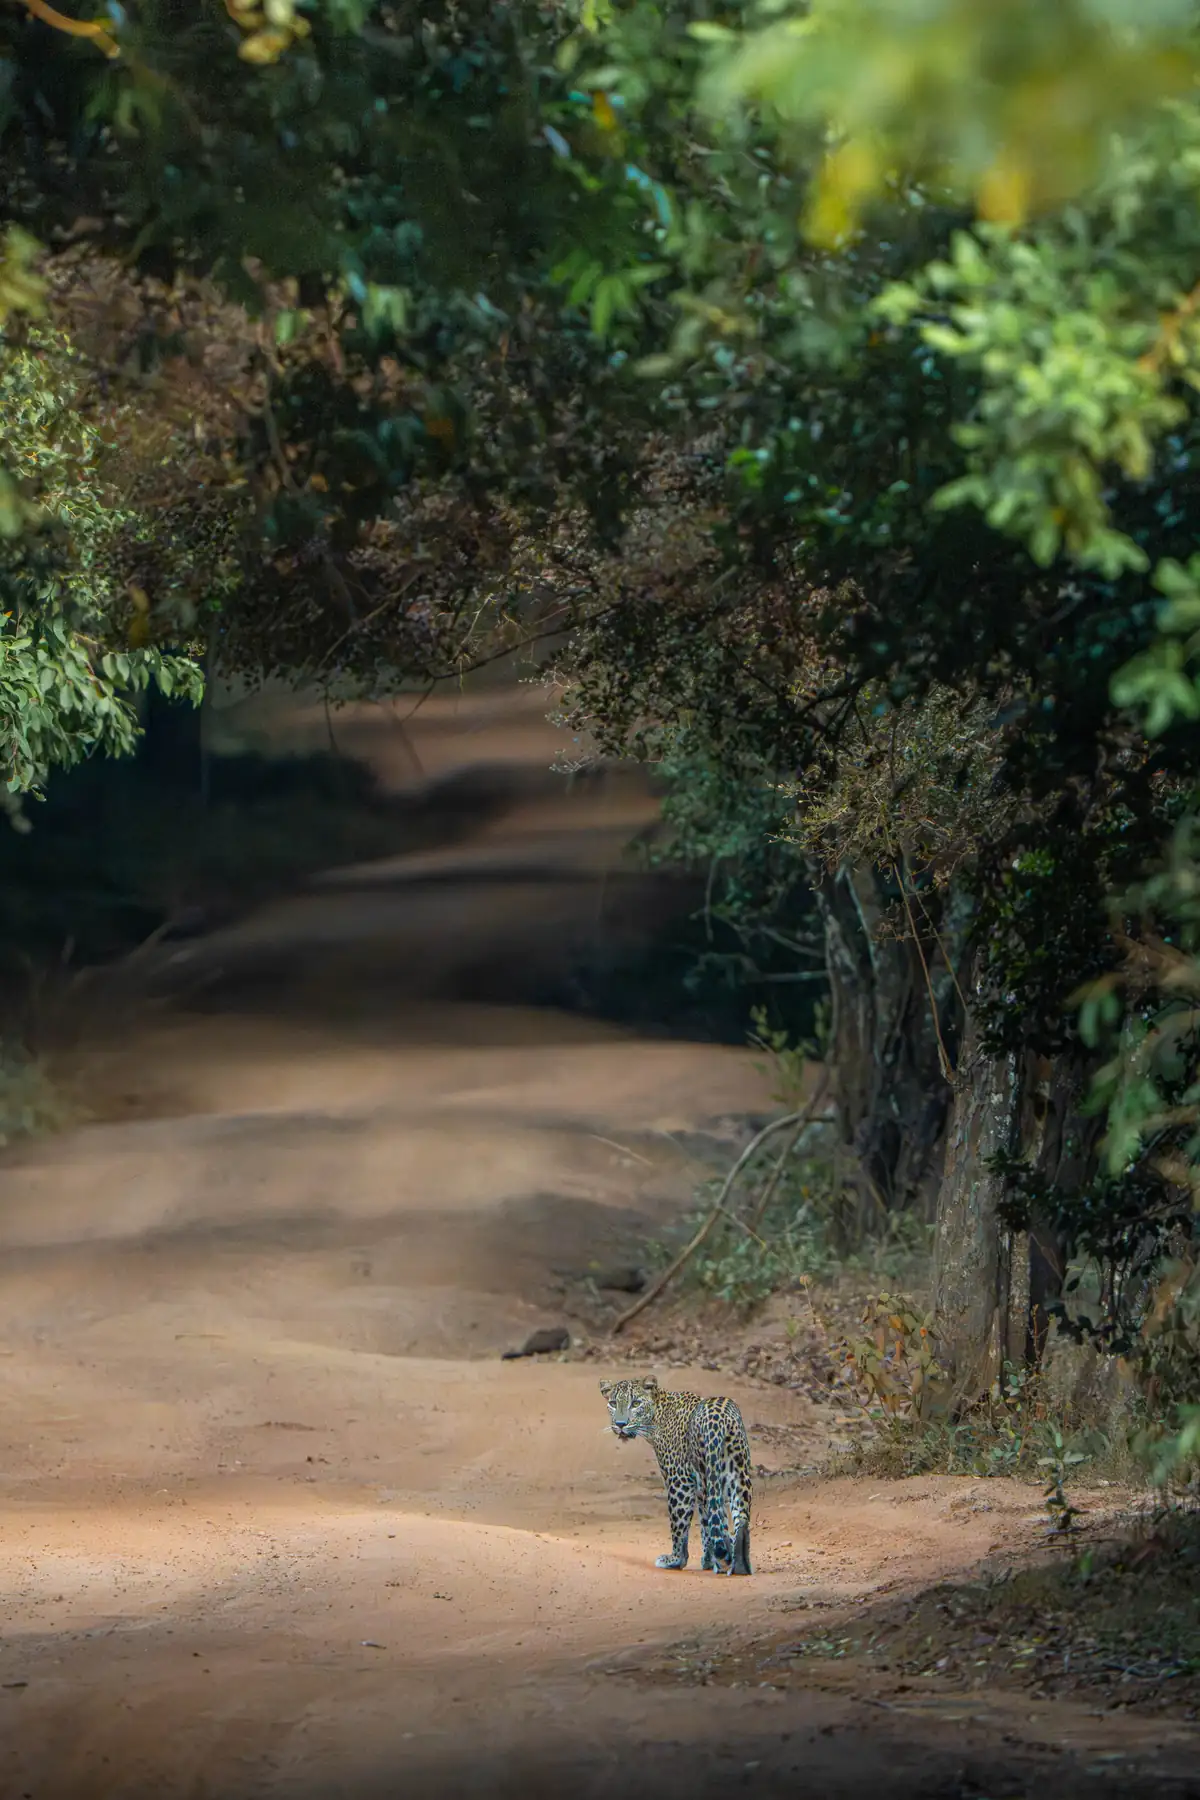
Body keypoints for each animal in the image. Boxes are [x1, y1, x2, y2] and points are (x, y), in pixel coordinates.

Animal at [599, 1375, 753, 1575]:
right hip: (737, 1472)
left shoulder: (679, 1479)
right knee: (738, 1519)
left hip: (698, 1479)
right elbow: (707, 1524)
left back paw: (681, 1559)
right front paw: (709, 1561)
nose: (620, 1425)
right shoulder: (701, 1489)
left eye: (636, 1403)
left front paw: (678, 1560)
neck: (657, 1416)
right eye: (613, 1403)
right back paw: (739, 1566)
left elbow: (683, 1525)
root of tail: (718, 1416)